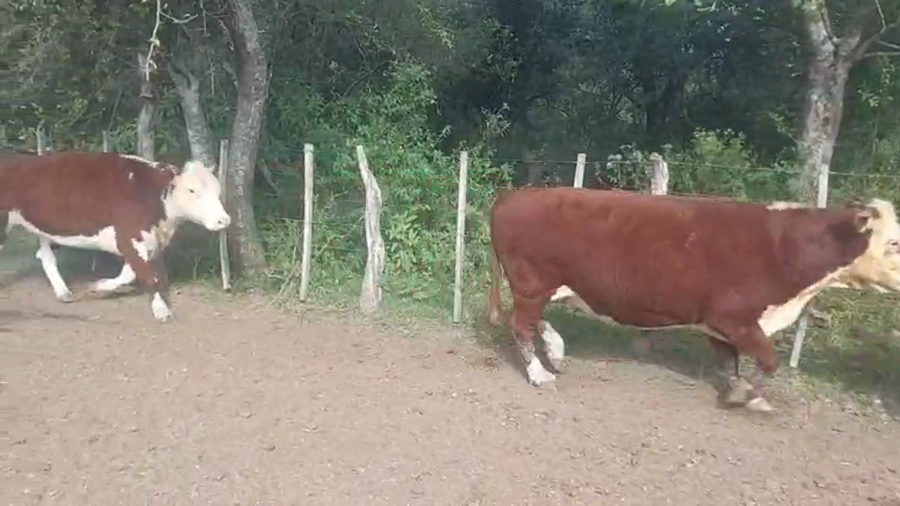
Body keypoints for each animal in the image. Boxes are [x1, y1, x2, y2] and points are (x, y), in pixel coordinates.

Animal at [0, 151, 231, 322]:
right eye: (191, 190)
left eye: (218, 190)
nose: (223, 220)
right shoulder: (129, 238)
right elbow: (147, 276)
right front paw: (161, 310)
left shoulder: (145, 242)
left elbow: (130, 274)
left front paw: (98, 288)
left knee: (45, 256)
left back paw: (63, 292)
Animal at [487, 187, 900, 412]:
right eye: (894, 242)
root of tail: (515, 194)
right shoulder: (733, 317)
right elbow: (768, 360)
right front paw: (750, 397)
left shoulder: (718, 325)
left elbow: (731, 361)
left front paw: (739, 389)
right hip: (532, 282)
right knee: (521, 325)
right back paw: (539, 374)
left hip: (543, 286)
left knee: (531, 321)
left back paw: (555, 353)